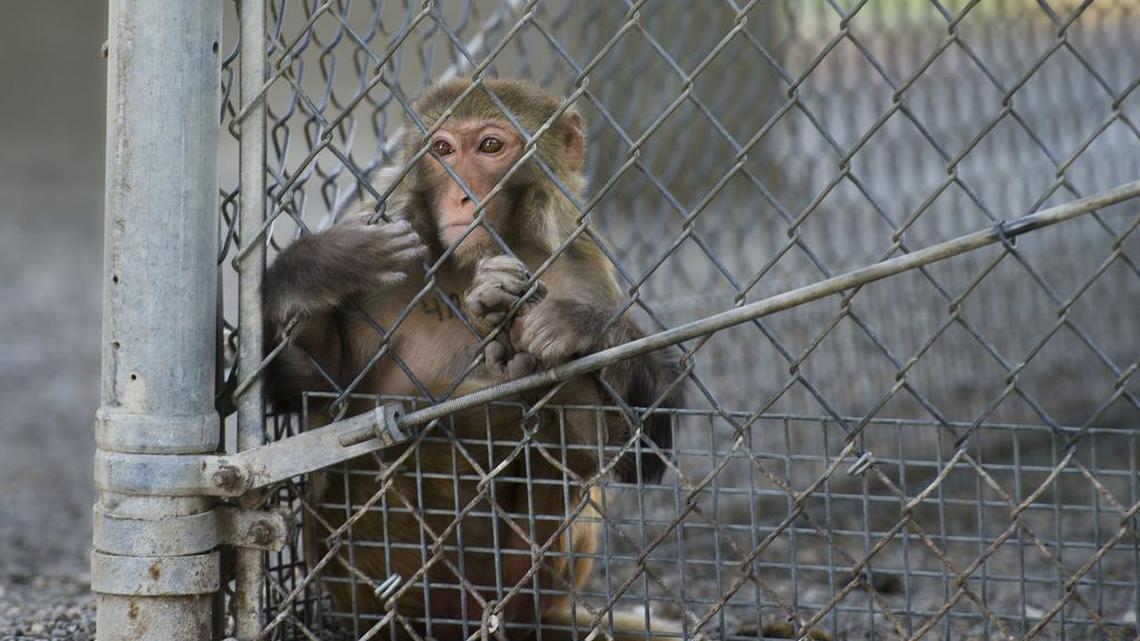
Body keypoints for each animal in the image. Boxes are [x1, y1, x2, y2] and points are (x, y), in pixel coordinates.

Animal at [263, 77, 687, 641]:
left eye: (489, 146)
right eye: (443, 150)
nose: (462, 193)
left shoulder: (586, 269)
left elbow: (640, 449)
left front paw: (579, 326)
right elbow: (316, 393)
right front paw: (316, 269)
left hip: (540, 578)